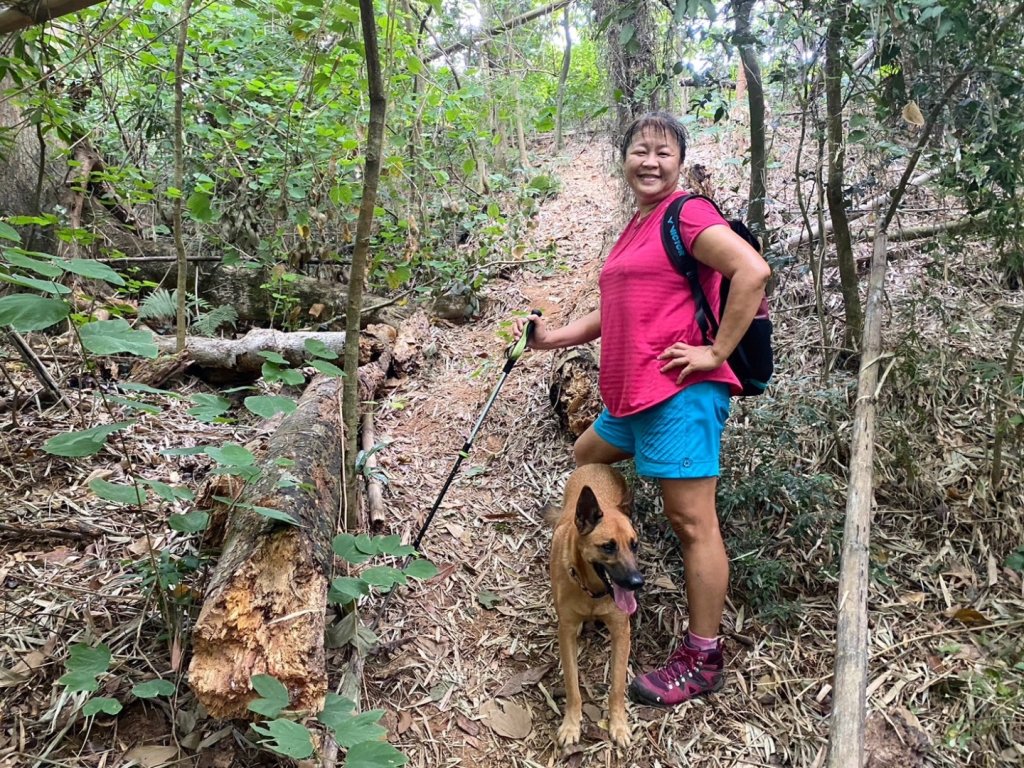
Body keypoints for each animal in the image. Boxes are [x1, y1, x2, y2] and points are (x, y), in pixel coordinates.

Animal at [548, 466, 643, 749]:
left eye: (634, 545)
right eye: (608, 546)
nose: (638, 582)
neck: (593, 593)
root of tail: (596, 465)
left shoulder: (621, 632)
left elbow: (617, 685)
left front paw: (619, 724)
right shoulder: (566, 632)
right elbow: (572, 684)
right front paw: (571, 724)